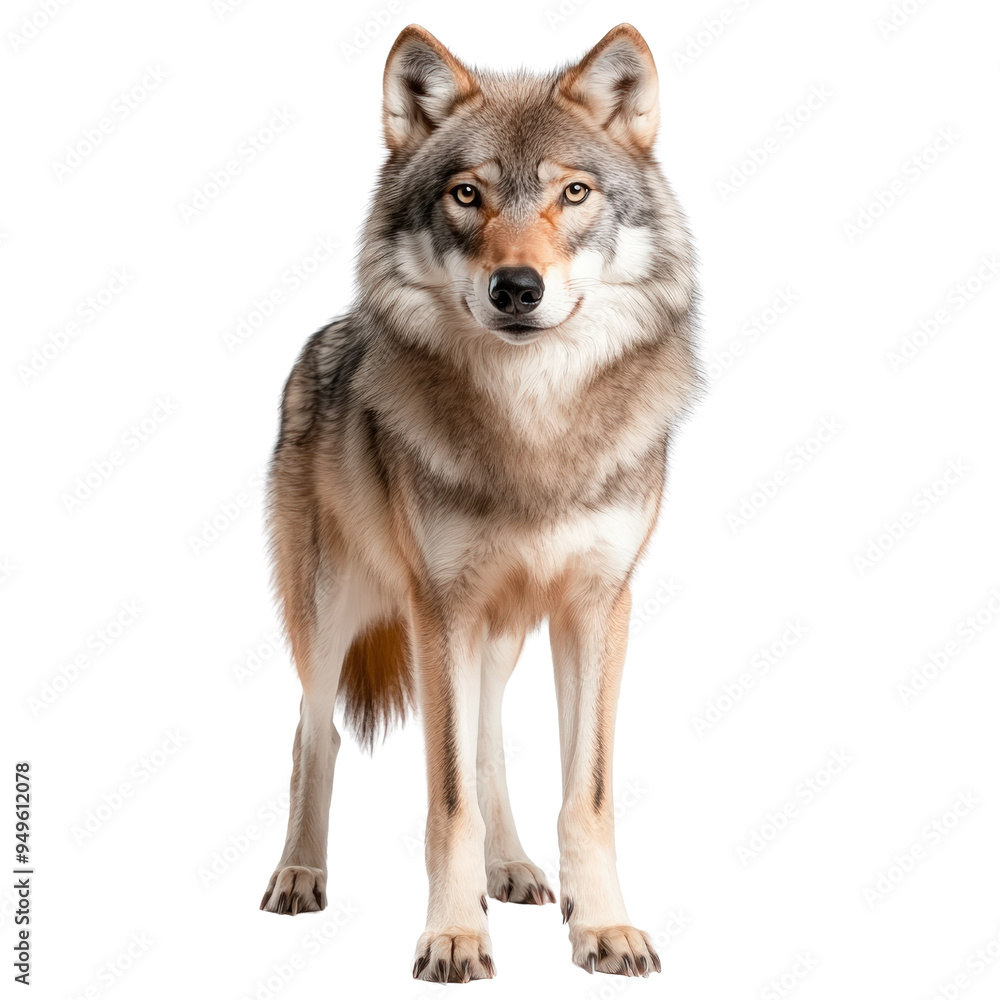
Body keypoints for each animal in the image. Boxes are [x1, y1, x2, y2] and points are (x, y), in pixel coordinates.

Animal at [258, 22, 700, 981]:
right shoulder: (439, 609)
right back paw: (299, 874)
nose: (517, 288)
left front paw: (603, 926)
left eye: (573, 192)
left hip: (497, 634)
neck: (533, 426)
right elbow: (447, 798)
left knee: (490, 740)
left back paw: (517, 869)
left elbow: (584, 795)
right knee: (315, 732)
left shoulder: (598, 607)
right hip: (335, 611)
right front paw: (455, 936)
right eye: (468, 194)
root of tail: (322, 338)